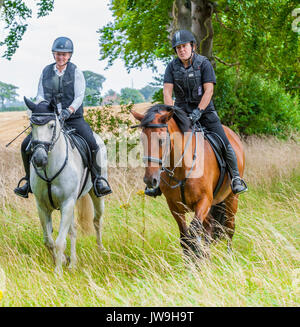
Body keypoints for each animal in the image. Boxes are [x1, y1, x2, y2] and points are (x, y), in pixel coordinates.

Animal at [24, 98, 108, 276]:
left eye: (51, 125)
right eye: (32, 125)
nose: (39, 159)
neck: (49, 170)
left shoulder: (67, 203)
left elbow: (59, 241)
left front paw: (58, 272)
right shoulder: (42, 207)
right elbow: (48, 241)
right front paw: (62, 260)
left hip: (95, 196)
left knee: (97, 221)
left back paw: (100, 250)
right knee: (73, 230)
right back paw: (72, 263)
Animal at [132, 104, 246, 258]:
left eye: (161, 140)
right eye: (142, 140)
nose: (150, 180)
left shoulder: (203, 201)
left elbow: (193, 232)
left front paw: (197, 258)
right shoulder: (175, 207)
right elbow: (185, 238)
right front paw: (192, 261)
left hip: (231, 199)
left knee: (229, 228)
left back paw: (229, 257)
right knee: (209, 227)